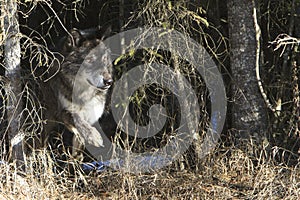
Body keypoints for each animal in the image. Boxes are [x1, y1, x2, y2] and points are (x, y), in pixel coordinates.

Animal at [41, 28, 112, 160]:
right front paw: (94, 136)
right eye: (89, 60)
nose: (109, 81)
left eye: (104, 59)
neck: (83, 94)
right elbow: (77, 119)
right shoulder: (61, 111)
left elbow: (77, 154)